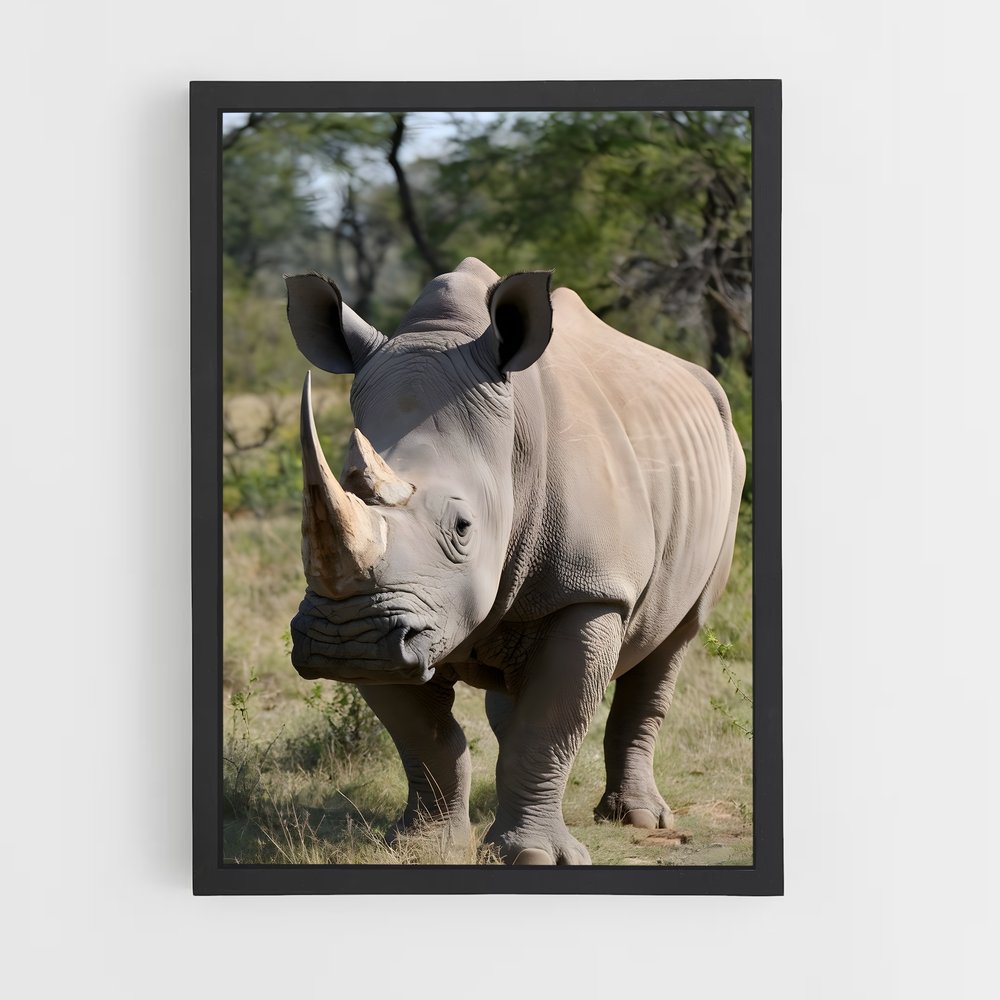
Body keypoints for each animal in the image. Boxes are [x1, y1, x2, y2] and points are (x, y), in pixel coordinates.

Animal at [284, 257, 745, 865]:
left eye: (463, 528)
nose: (347, 638)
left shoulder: (590, 590)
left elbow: (547, 727)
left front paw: (532, 857)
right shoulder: (391, 624)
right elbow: (425, 737)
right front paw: (421, 844)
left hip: (730, 464)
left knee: (674, 639)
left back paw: (639, 819)